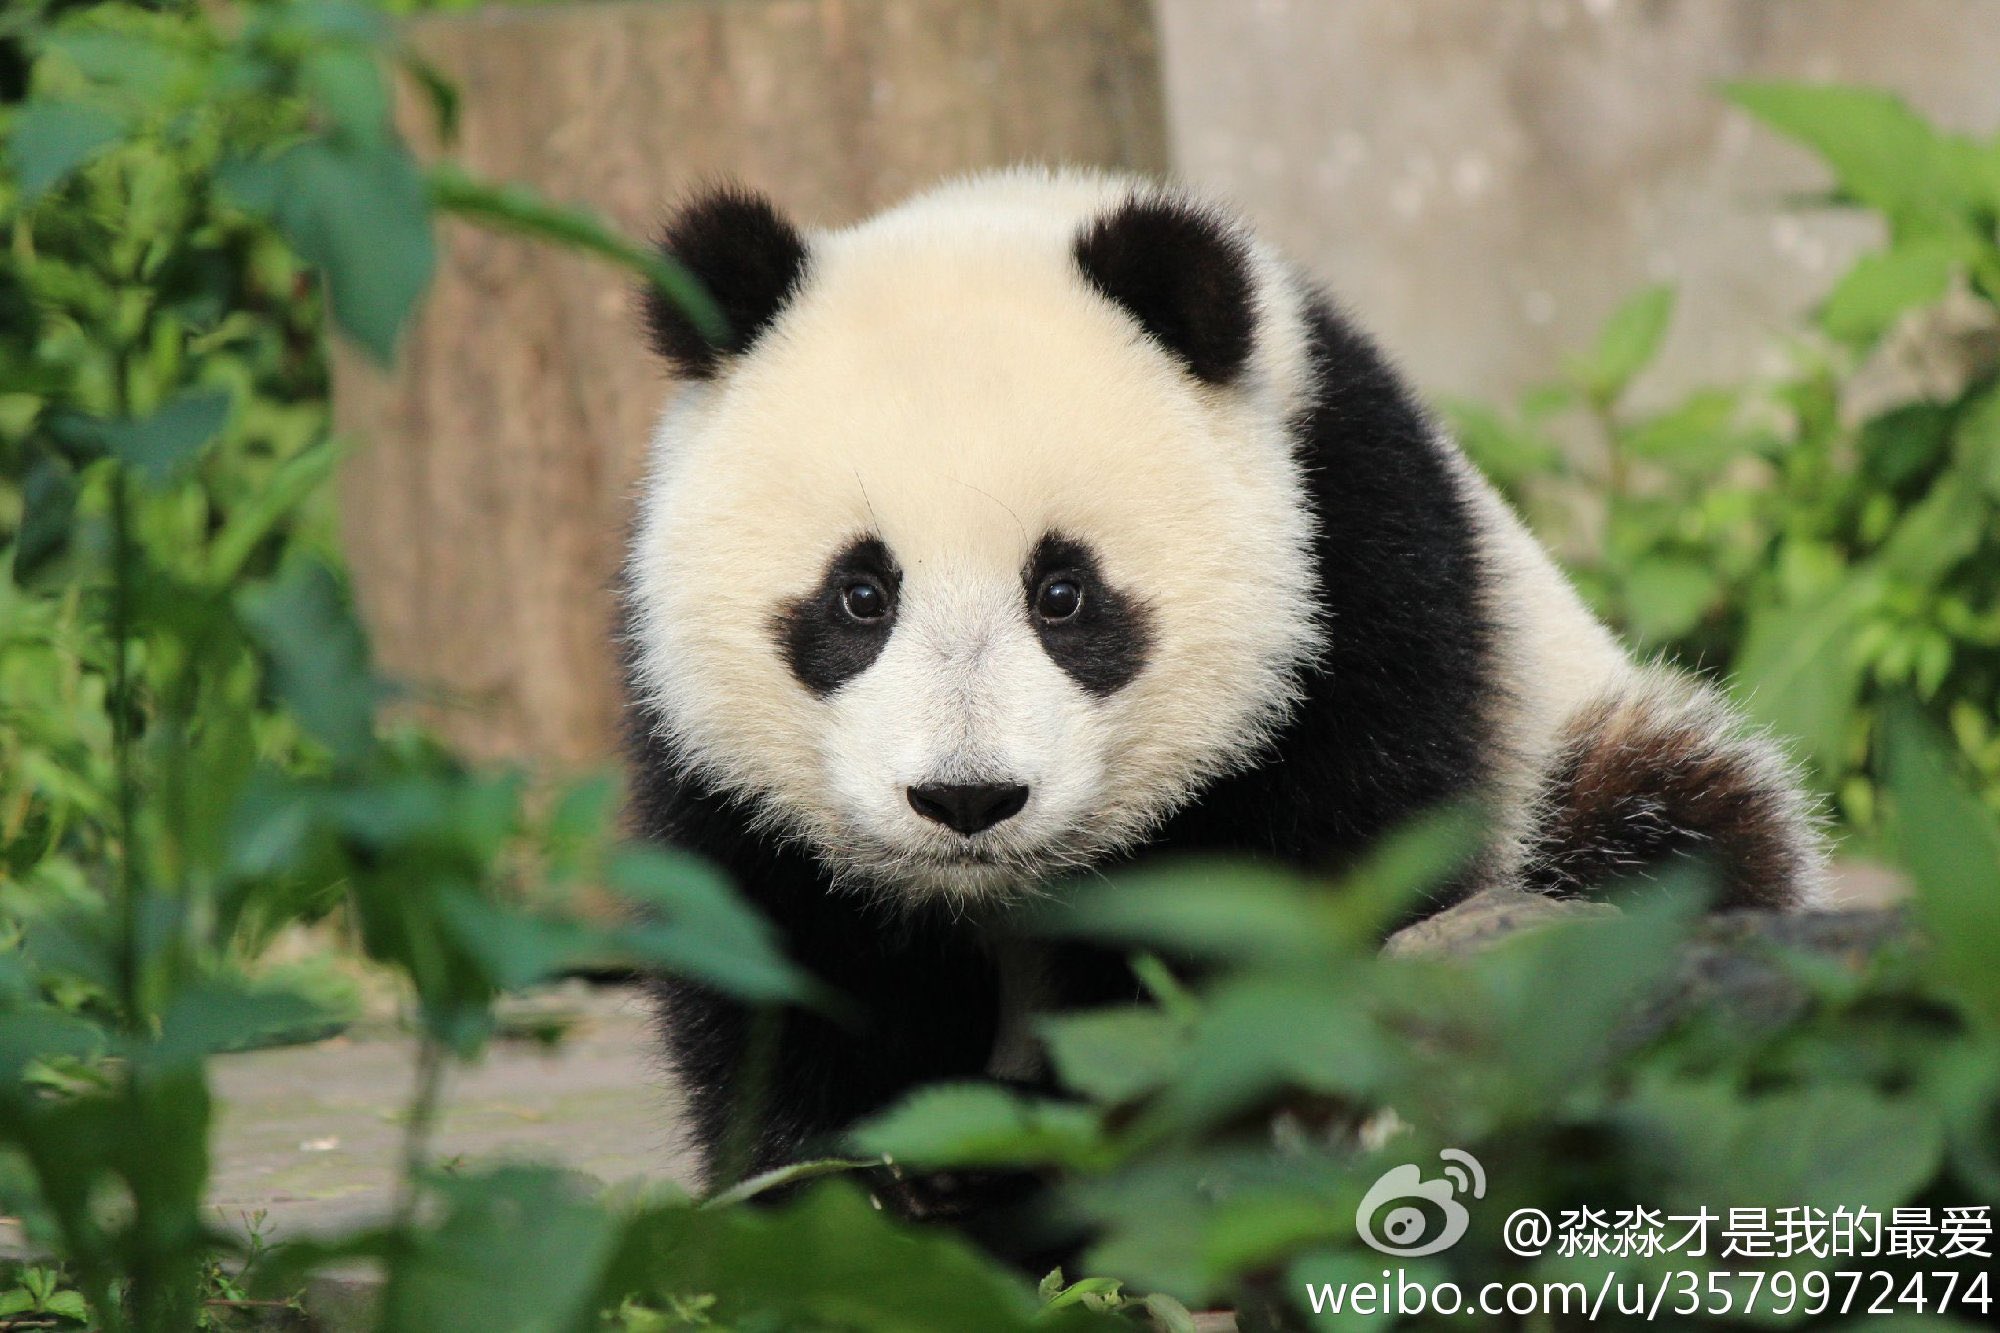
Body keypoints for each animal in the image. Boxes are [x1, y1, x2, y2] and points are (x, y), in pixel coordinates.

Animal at [624, 163, 1832, 1200]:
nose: (967, 799)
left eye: (1063, 594)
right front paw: (869, 1181)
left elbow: (1264, 944)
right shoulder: (710, 765)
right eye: (860, 596)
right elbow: (776, 971)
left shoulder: (1352, 585)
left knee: (1663, 834)